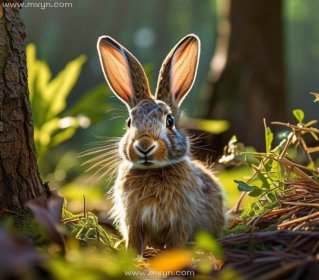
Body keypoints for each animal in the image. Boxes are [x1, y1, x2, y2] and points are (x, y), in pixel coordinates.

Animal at [97, 34, 225, 255]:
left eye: (170, 121)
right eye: (129, 123)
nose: (145, 145)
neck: (153, 171)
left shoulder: (180, 221)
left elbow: (176, 241)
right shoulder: (133, 220)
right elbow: (134, 240)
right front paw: (131, 255)